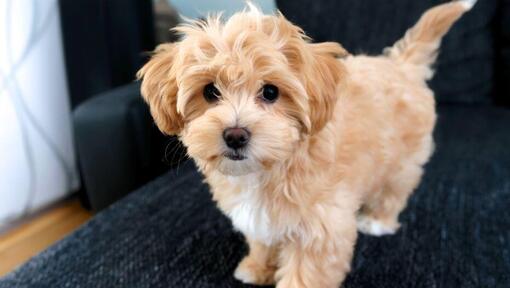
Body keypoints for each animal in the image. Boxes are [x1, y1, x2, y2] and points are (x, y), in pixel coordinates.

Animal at [137, 1, 476, 286]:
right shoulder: (262, 217)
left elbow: (306, 271)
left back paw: (378, 220)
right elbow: (263, 239)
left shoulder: (321, 227)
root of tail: (401, 65)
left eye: (270, 92)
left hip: (403, 160)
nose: (235, 135)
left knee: (395, 190)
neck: (270, 168)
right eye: (210, 91)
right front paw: (257, 267)